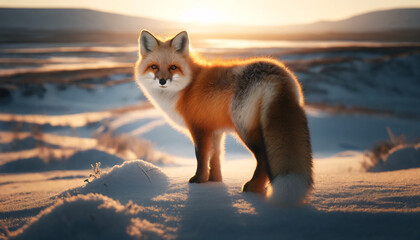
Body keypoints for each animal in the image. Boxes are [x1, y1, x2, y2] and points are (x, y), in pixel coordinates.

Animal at [135, 30, 312, 206]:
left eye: (173, 67)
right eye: (154, 67)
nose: (162, 81)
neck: (186, 88)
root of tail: (275, 73)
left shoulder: (199, 128)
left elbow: (201, 157)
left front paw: (198, 181)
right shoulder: (215, 130)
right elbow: (216, 157)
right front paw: (215, 182)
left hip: (244, 128)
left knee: (262, 157)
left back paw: (253, 188)